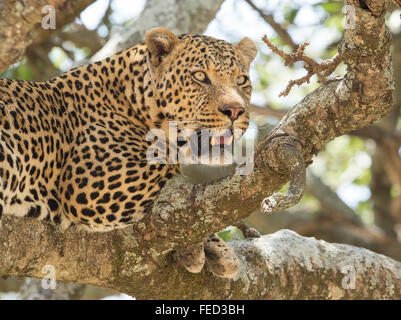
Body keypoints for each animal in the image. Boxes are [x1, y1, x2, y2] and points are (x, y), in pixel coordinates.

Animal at [0, 27, 256, 278]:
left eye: (241, 80)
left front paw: (218, 251)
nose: (235, 111)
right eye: (200, 76)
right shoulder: (93, 186)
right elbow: (177, 192)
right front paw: (200, 249)